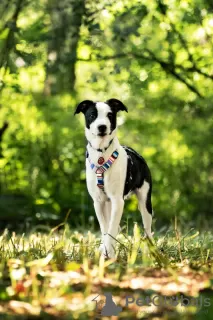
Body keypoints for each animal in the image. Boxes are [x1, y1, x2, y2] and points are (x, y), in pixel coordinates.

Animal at [75, 99, 153, 258]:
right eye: (92, 115)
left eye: (110, 115)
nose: (102, 127)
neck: (101, 154)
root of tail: (138, 155)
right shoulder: (98, 202)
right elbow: (106, 229)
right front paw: (106, 251)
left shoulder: (118, 201)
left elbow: (111, 229)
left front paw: (109, 253)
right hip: (109, 204)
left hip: (145, 202)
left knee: (148, 229)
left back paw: (152, 252)